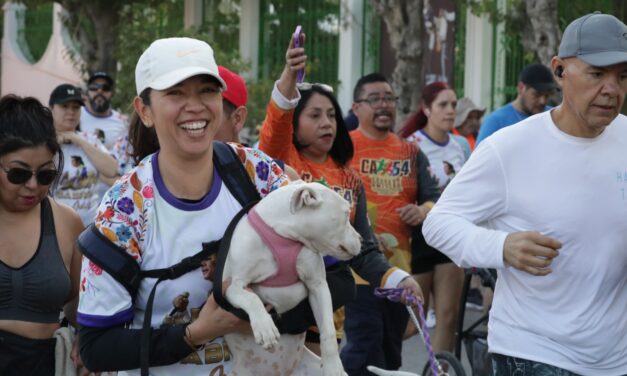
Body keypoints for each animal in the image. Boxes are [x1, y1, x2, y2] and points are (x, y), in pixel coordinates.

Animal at [221, 182, 360, 376]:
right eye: (347, 213)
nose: (361, 238)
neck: (284, 236)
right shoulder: (231, 287)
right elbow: (252, 298)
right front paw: (265, 327)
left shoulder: (318, 286)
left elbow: (328, 331)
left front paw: (333, 367)